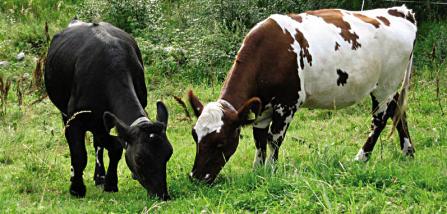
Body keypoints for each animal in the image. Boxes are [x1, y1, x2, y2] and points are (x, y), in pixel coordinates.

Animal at [44, 20, 173, 200]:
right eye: (139, 159)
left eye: (169, 153)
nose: (162, 195)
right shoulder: (76, 118)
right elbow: (79, 154)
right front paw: (77, 188)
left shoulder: (107, 119)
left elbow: (115, 147)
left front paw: (110, 183)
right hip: (67, 113)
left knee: (98, 144)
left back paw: (99, 177)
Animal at [188, 5, 416, 182]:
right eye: (194, 136)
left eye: (220, 142)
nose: (196, 177)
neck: (267, 53)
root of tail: (399, 11)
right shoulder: (261, 108)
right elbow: (259, 139)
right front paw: (257, 170)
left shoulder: (287, 104)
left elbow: (274, 138)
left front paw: (270, 170)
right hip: (386, 86)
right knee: (398, 109)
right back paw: (408, 151)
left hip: (385, 84)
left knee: (379, 120)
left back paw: (361, 157)